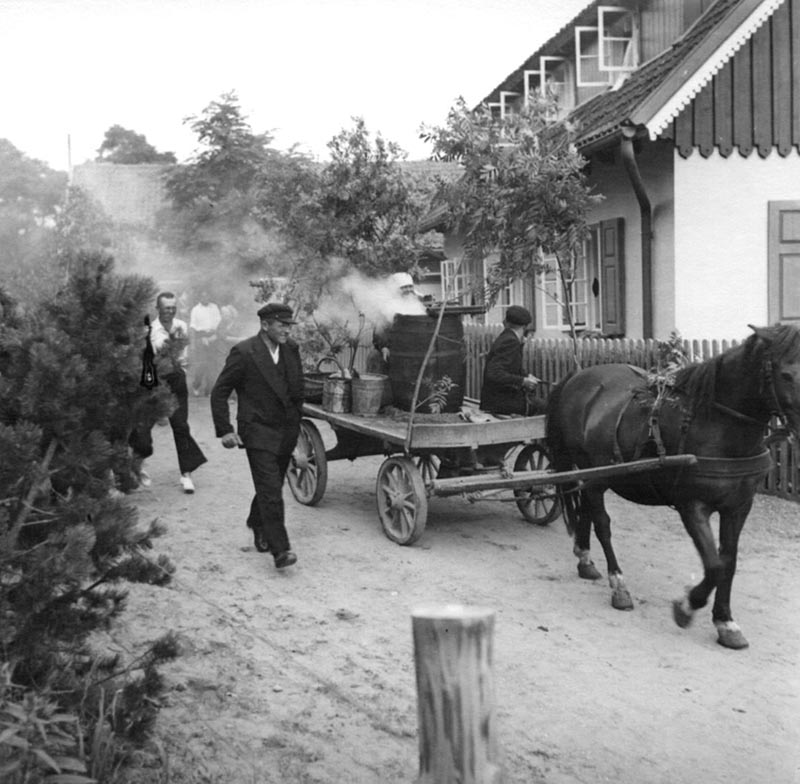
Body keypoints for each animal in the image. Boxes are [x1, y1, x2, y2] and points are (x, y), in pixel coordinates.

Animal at [544, 324, 800, 648]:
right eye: (786, 374)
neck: (717, 423)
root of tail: (577, 377)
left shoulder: (739, 507)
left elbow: (728, 562)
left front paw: (725, 621)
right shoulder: (692, 506)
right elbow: (714, 565)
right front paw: (687, 606)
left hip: (597, 475)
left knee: (588, 510)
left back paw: (585, 559)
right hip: (595, 472)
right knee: (602, 523)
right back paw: (619, 586)